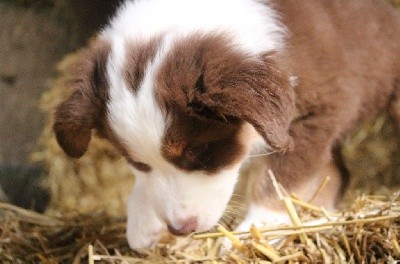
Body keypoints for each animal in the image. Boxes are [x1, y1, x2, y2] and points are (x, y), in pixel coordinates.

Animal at [51, 0, 400, 250]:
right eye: (135, 163)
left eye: (200, 152)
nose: (180, 229)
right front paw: (141, 222)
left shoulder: (317, 113)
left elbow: (280, 178)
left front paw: (255, 232)